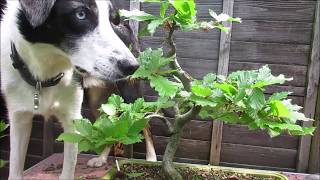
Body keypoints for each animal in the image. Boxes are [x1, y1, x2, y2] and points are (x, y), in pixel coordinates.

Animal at [0, 0, 139, 179]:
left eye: (113, 21)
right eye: (81, 14)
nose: (132, 66)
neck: (44, 74)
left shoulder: (72, 118)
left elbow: (69, 166)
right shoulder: (19, 117)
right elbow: (15, 168)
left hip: (130, 93)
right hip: (96, 99)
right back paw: (100, 159)